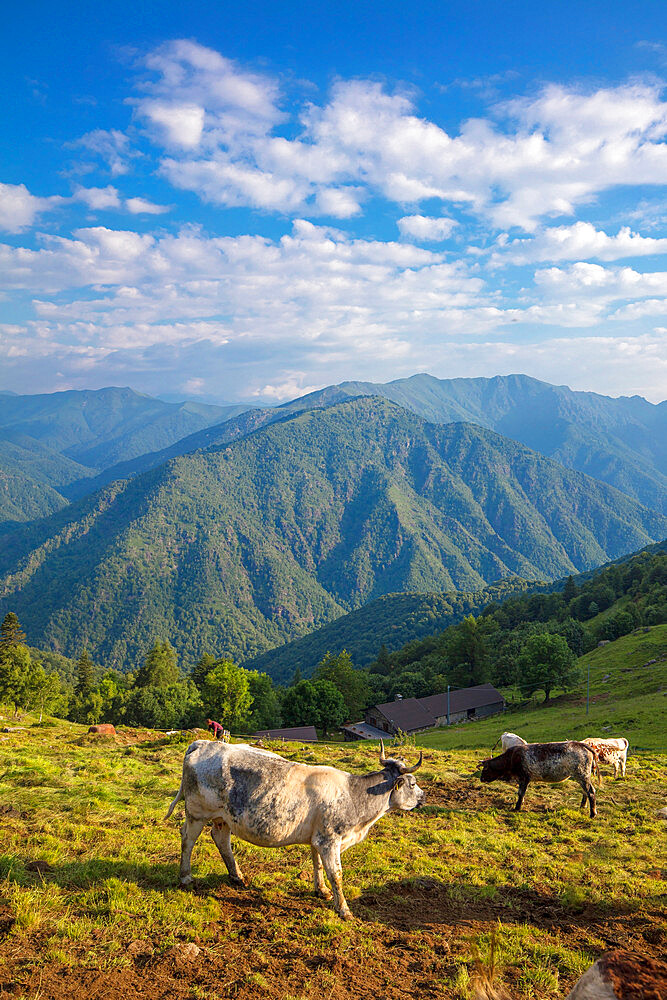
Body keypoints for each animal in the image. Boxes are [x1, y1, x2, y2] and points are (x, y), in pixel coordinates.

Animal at [167, 740, 428, 916]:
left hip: (223, 817)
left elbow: (318, 866)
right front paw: (343, 909)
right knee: (187, 839)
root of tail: (203, 743)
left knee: (221, 839)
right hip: (197, 812)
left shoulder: (318, 838)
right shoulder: (330, 840)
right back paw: (186, 876)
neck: (355, 796)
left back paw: (237, 876)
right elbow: (336, 874)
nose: (424, 797)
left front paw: (321, 890)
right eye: (412, 784)